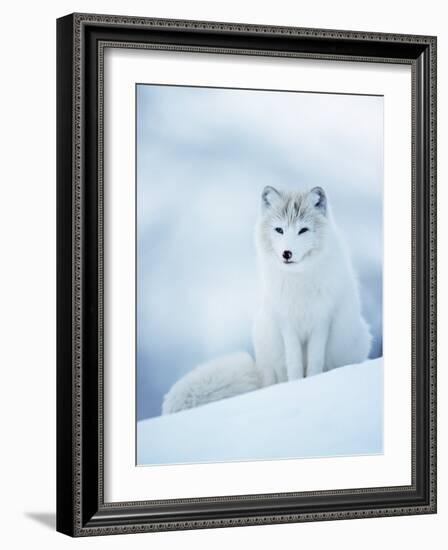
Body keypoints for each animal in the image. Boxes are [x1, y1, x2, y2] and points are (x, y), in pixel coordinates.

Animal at [161, 188, 372, 416]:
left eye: (303, 230)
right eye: (279, 230)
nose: (287, 253)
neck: (298, 281)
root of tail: (258, 373)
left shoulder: (321, 321)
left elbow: (315, 362)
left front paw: (312, 383)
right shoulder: (286, 322)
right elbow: (294, 363)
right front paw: (297, 386)